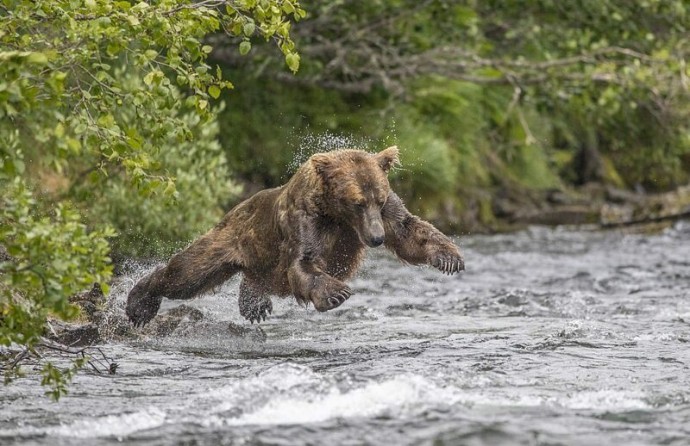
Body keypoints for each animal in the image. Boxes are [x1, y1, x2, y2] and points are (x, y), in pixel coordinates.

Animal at [127, 148, 462, 326]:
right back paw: (139, 303)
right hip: (231, 238)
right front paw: (336, 293)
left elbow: (407, 230)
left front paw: (449, 257)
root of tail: (236, 207)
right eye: (357, 202)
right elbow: (304, 262)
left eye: (377, 200)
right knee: (188, 273)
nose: (377, 238)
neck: (337, 215)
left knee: (252, 279)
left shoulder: (384, 213)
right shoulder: (306, 220)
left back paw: (254, 306)